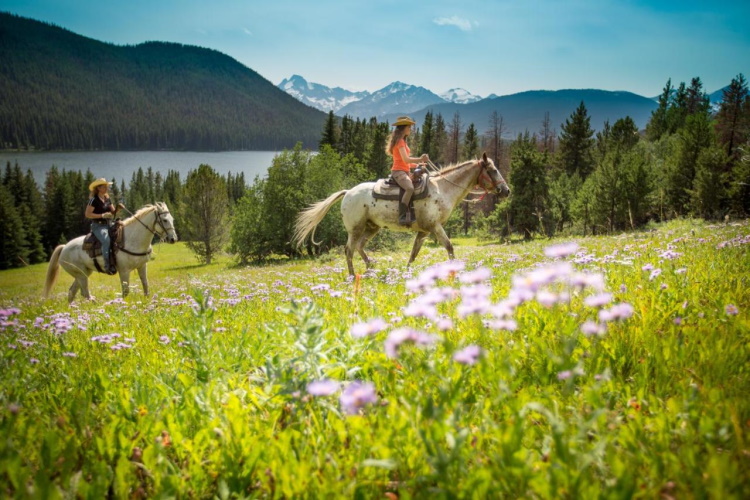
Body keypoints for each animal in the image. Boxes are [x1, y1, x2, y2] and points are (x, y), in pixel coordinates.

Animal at [44, 202, 179, 302]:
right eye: (165, 220)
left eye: (172, 219)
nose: (173, 239)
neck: (132, 239)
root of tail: (64, 247)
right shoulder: (124, 271)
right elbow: (126, 291)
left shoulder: (142, 266)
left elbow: (145, 285)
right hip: (81, 275)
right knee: (85, 293)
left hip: (83, 273)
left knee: (72, 291)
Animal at [294, 154, 512, 276]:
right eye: (493, 170)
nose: (506, 190)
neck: (442, 188)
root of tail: (348, 192)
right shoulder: (435, 227)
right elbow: (449, 247)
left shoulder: (424, 231)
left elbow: (413, 253)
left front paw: (407, 273)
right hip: (355, 228)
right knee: (349, 250)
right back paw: (352, 275)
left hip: (372, 227)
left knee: (360, 247)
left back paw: (371, 268)